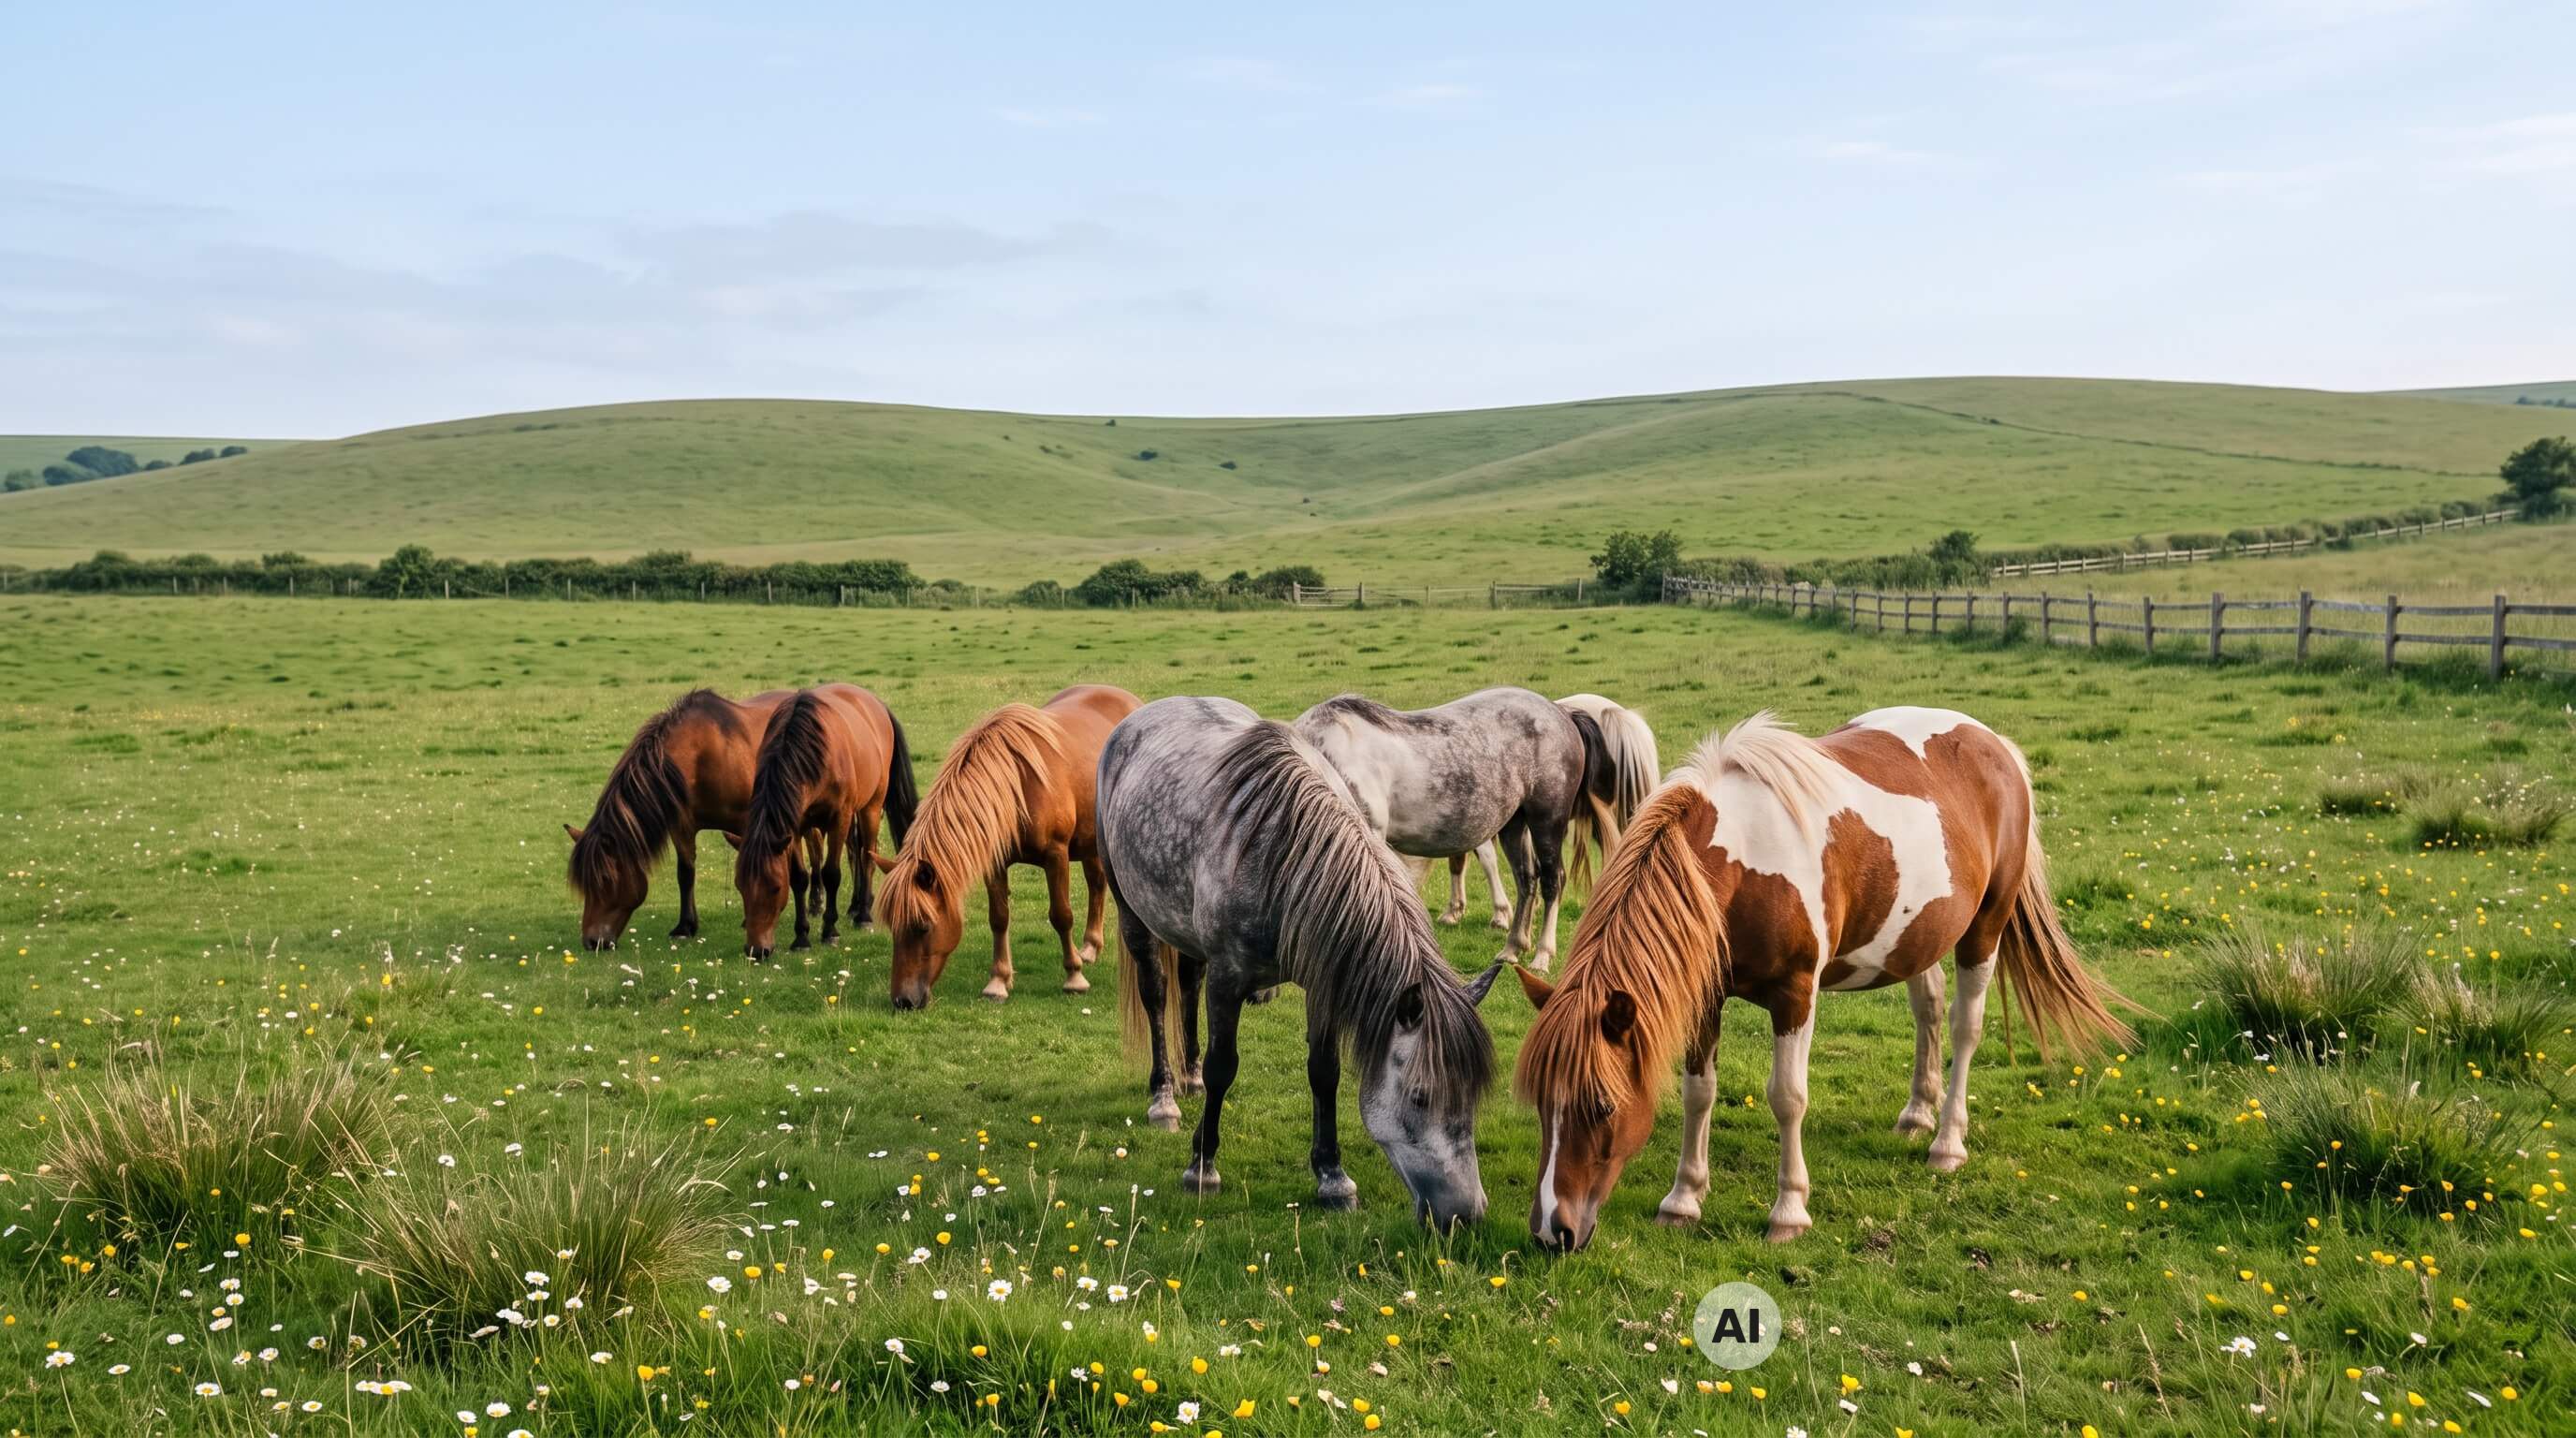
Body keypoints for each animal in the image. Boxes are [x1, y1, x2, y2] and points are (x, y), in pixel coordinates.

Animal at [567, 687, 795, 950]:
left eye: (605, 880)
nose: (592, 942)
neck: (706, 755)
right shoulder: (682, 826)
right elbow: (685, 873)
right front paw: (685, 927)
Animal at [729, 684, 918, 958]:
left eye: (775, 887)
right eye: (740, 885)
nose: (756, 950)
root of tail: (876, 704)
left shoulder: (839, 819)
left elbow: (831, 874)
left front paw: (830, 931)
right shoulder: (794, 827)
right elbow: (799, 878)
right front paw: (801, 937)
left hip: (871, 807)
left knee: (867, 854)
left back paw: (863, 914)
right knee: (856, 850)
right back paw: (855, 906)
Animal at [880, 684, 1142, 1009]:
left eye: (923, 926)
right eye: (892, 926)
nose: (903, 1000)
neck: (1017, 786)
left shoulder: (1056, 855)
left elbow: (1061, 915)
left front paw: (1074, 977)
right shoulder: (995, 863)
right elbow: (999, 918)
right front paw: (998, 981)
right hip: (1090, 840)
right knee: (1096, 884)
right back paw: (1091, 947)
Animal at [1097, 696, 1506, 1228]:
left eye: (1473, 1097)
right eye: (1420, 1095)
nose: (1467, 1214)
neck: (1286, 858)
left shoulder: (1321, 981)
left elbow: (1324, 1071)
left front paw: (1333, 1179)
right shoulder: (1229, 977)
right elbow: (1223, 1067)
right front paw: (1202, 1168)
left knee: (1187, 981)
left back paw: (1187, 1079)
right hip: (1132, 912)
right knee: (1157, 993)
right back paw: (1164, 1098)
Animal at [1514, 707, 2137, 1250]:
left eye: (1602, 1107)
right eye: (1542, 1101)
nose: (1551, 1232)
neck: (1739, 863)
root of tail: (1993, 742)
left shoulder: (1796, 995)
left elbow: (1787, 1097)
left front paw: (1789, 1211)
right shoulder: (1707, 995)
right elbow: (1699, 1091)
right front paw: (1683, 1199)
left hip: (1984, 929)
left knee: (1966, 1029)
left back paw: (1947, 1142)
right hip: (1917, 934)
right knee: (1930, 1010)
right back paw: (1917, 1113)